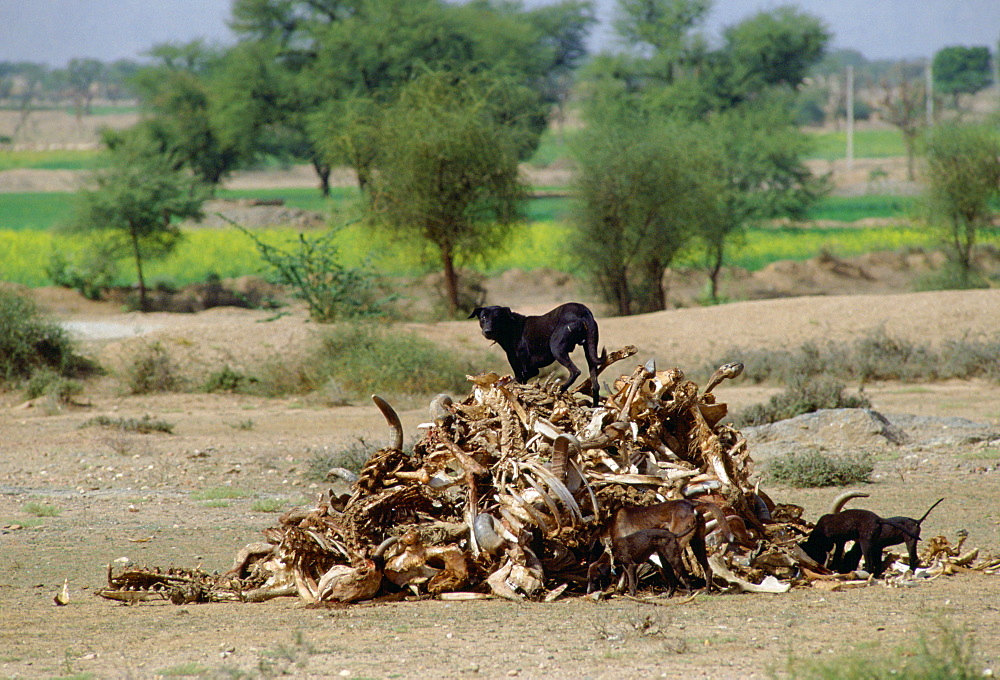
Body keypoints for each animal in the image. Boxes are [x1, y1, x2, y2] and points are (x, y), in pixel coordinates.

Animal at [466, 304, 600, 410]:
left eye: (497, 318)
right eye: (483, 318)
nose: (488, 331)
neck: (511, 327)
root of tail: (583, 311)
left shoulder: (527, 369)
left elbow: (516, 379)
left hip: (557, 348)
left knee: (575, 371)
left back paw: (561, 389)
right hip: (590, 350)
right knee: (595, 383)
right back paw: (595, 406)